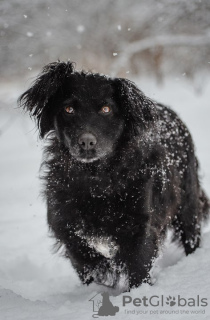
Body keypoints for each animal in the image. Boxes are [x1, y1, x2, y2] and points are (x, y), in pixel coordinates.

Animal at [18, 61, 209, 292]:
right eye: (68, 109)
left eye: (106, 109)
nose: (86, 142)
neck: (97, 178)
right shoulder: (67, 227)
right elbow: (86, 262)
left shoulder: (140, 229)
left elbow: (138, 268)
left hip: (187, 204)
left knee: (191, 235)